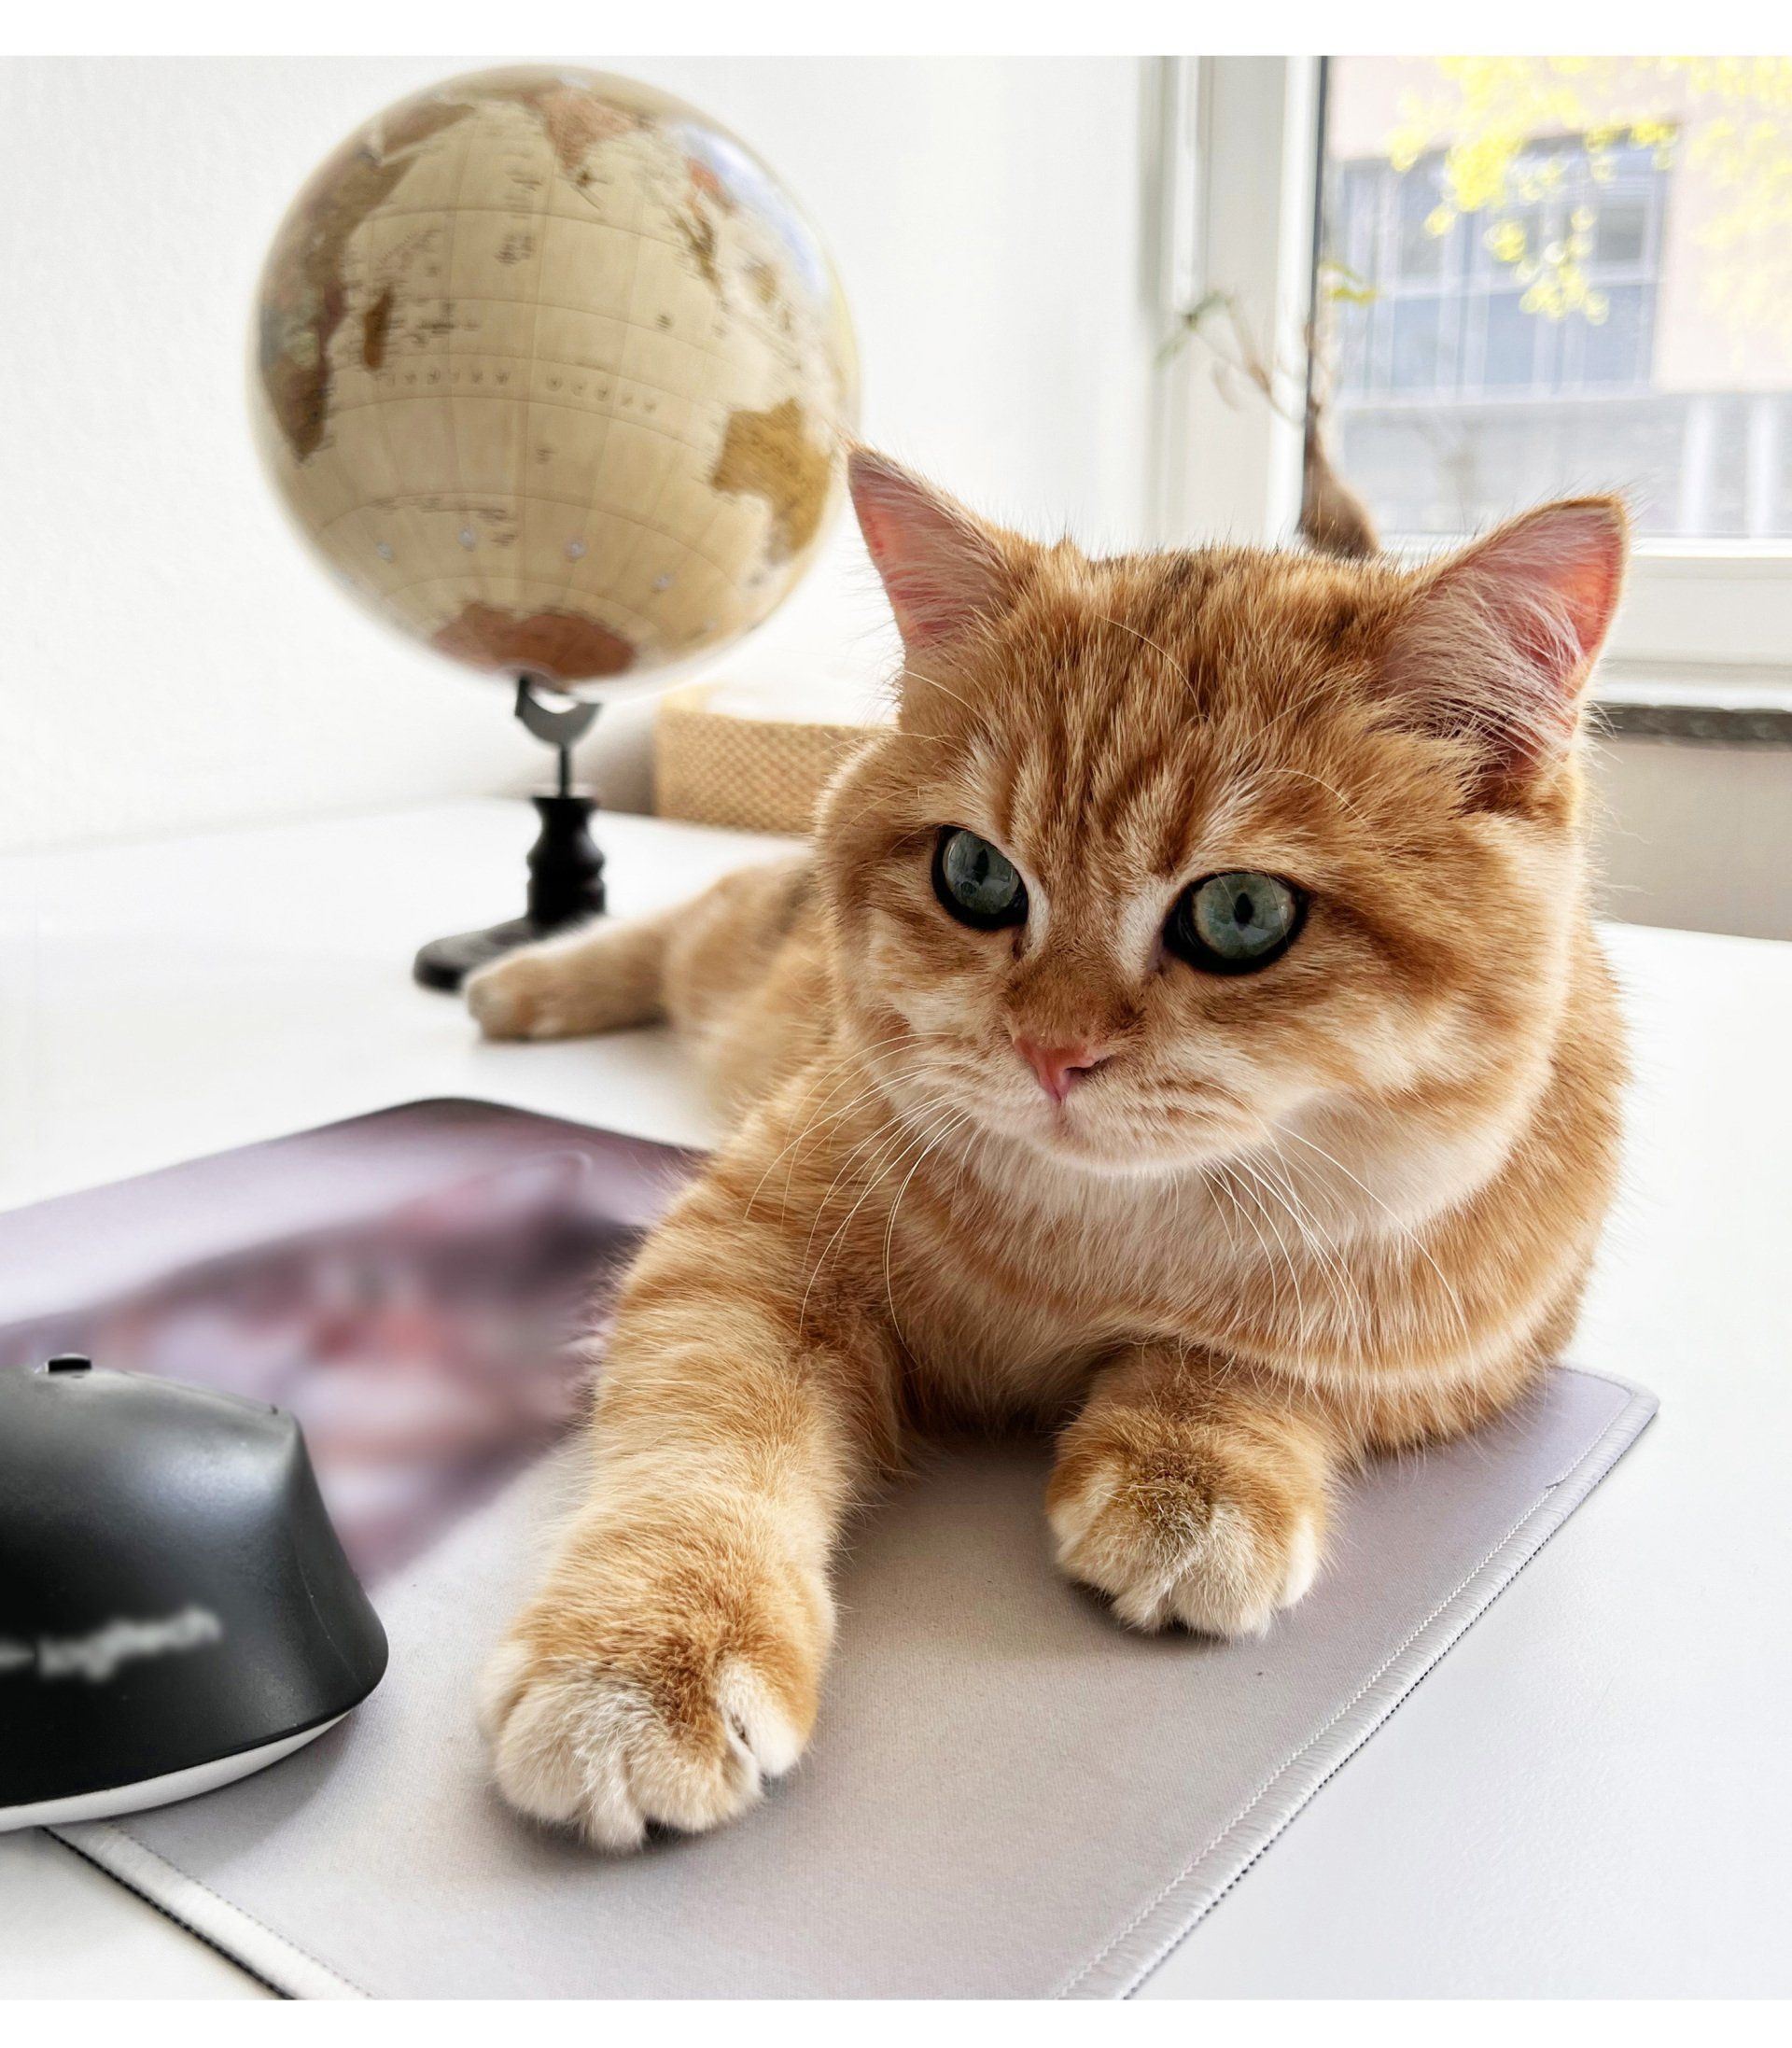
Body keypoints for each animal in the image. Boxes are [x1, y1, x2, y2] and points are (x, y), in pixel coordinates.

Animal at [467, 448, 1629, 1850]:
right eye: (975, 874)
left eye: (1244, 912)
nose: (1050, 1050)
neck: (1099, 1239)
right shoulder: (742, 1247)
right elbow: (705, 1440)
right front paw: (642, 1660)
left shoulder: (1471, 1349)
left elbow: (1264, 1361)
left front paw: (1192, 1465)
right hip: (726, 961)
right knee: (673, 921)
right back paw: (524, 983)